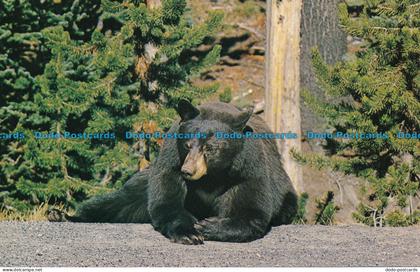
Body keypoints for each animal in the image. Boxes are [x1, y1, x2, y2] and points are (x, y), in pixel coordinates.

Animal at [59, 100, 296, 244]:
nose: (188, 171)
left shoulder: (247, 169)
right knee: (120, 201)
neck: (212, 177)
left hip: (286, 194)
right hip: (144, 180)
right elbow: (167, 203)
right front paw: (189, 232)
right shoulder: (171, 162)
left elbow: (251, 213)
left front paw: (208, 226)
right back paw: (64, 215)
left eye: (210, 148)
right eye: (188, 144)